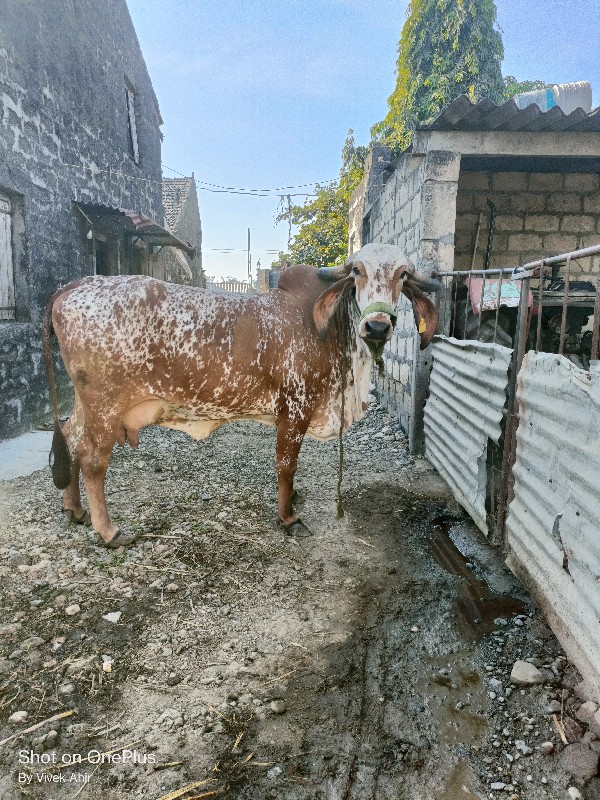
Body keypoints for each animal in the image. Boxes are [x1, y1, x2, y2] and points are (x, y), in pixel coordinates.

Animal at [41, 241, 436, 548]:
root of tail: (74, 286)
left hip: (86, 404)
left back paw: (74, 509)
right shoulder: (294, 408)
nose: (377, 326)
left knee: (72, 438)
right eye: (356, 271)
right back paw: (108, 531)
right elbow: (286, 465)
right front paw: (288, 517)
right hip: (104, 408)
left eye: (403, 274)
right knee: (93, 461)